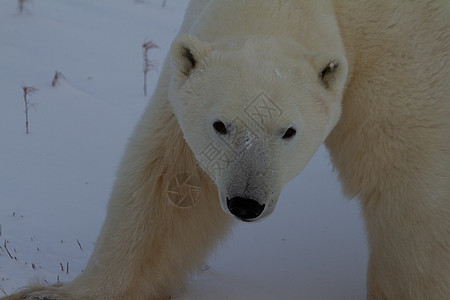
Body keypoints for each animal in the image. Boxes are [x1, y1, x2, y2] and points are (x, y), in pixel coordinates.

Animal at [5, 0, 448, 298]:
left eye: (288, 131)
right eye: (220, 125)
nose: (246, 203)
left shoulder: (400, 59)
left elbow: (411, 196)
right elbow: (170, 183)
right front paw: (50, 294)